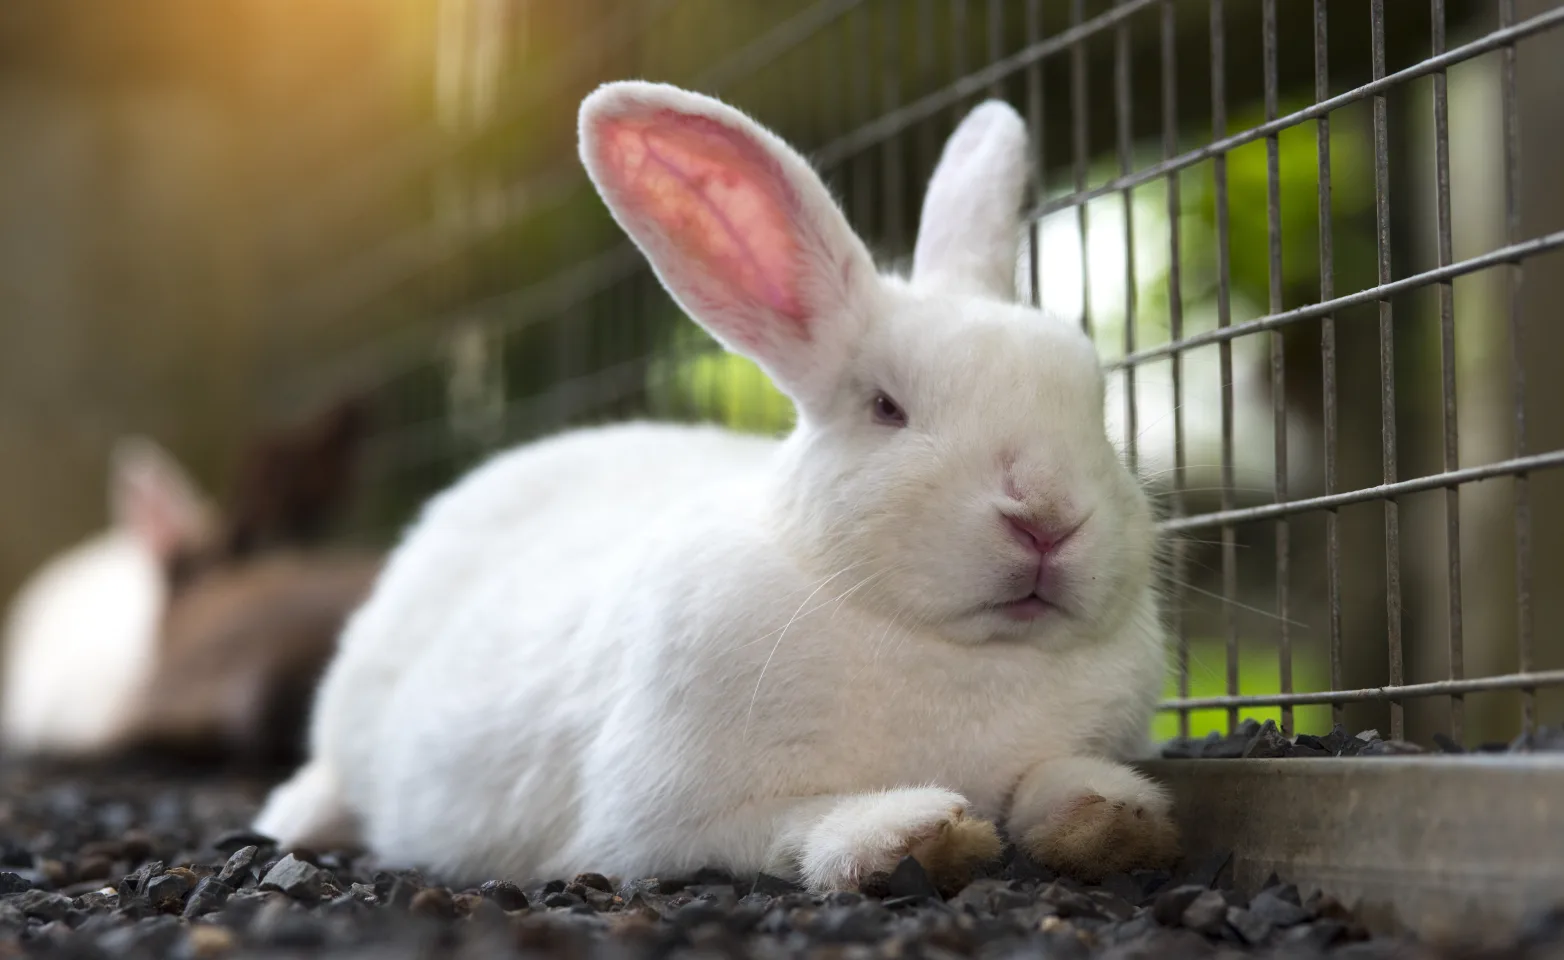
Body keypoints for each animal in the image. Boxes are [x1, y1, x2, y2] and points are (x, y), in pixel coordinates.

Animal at [256, 82, 1176, 894]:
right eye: (886, 408)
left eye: (1094, 404)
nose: (1048, 518)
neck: (957, 654)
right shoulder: (665, 822)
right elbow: (792, 824)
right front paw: (912, 833)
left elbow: (1054, 782)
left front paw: (1111, 818)